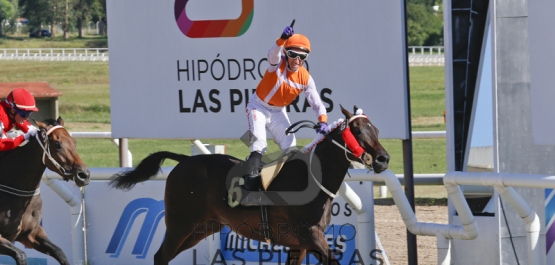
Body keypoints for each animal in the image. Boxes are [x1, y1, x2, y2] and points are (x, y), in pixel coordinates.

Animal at [0, 117, 89, 264]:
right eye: (57, 144)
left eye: (74, 141)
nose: (84, 175)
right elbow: (20, 255)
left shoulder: (30, 233)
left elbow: (59, 252)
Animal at [109, 105, 390, 264]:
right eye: (357, 131)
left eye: (376, 130)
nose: (383, 159)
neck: (309, 180)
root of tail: (184, 161)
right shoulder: (309, 235)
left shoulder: (298, 243)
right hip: (180, 224)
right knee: (160, 257)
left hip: (202, 228)